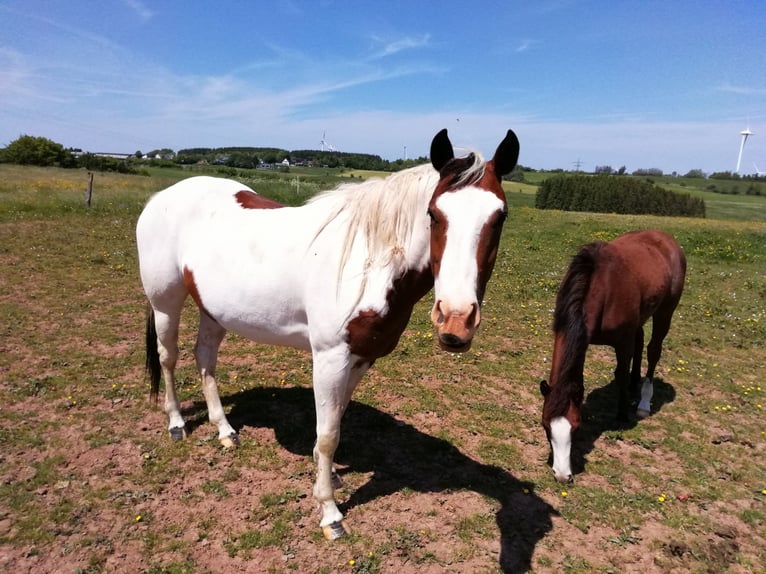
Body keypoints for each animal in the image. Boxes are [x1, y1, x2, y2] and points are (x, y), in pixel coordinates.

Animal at [136, 129, 520, 540]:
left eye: (500, 216)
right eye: (434, 214)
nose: (455, 321)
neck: (368, 262)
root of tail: (162, 197)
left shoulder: (361, 357)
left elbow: (336, 420)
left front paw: (332, 476)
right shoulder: (330, 358)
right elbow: (327, 433)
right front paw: (329, 513)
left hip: (214, 310)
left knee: (205, 358)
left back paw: (225, 430)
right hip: (165, 303)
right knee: (168, 357)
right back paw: (177, 424)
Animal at [540, 230, 688, 486]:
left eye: (576, 428)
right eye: (546, 426)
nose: (561, 475)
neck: (599, 287)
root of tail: (667, 240)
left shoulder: (623, 340)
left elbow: (620, 372)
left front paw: (622, 413)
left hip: (665, 311)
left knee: (653, 350)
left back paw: (643, 402)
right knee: (641, 341)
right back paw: (635, 384)